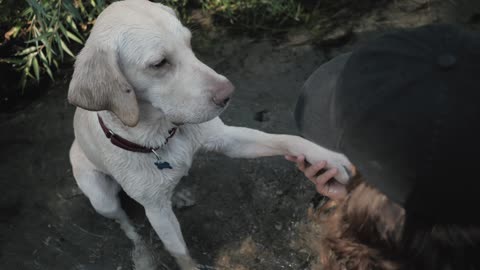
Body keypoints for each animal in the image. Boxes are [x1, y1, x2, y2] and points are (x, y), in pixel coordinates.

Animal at [67, 1, 352, 268]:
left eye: (189, 42)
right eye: (158, 64)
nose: (229, 93)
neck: (163, 133)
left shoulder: (228, 140)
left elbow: (286, 139)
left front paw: (328, 158)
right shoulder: (157, 212)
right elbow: (180, 252)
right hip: (102, 199)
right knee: (126, 224)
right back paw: (142, 253)